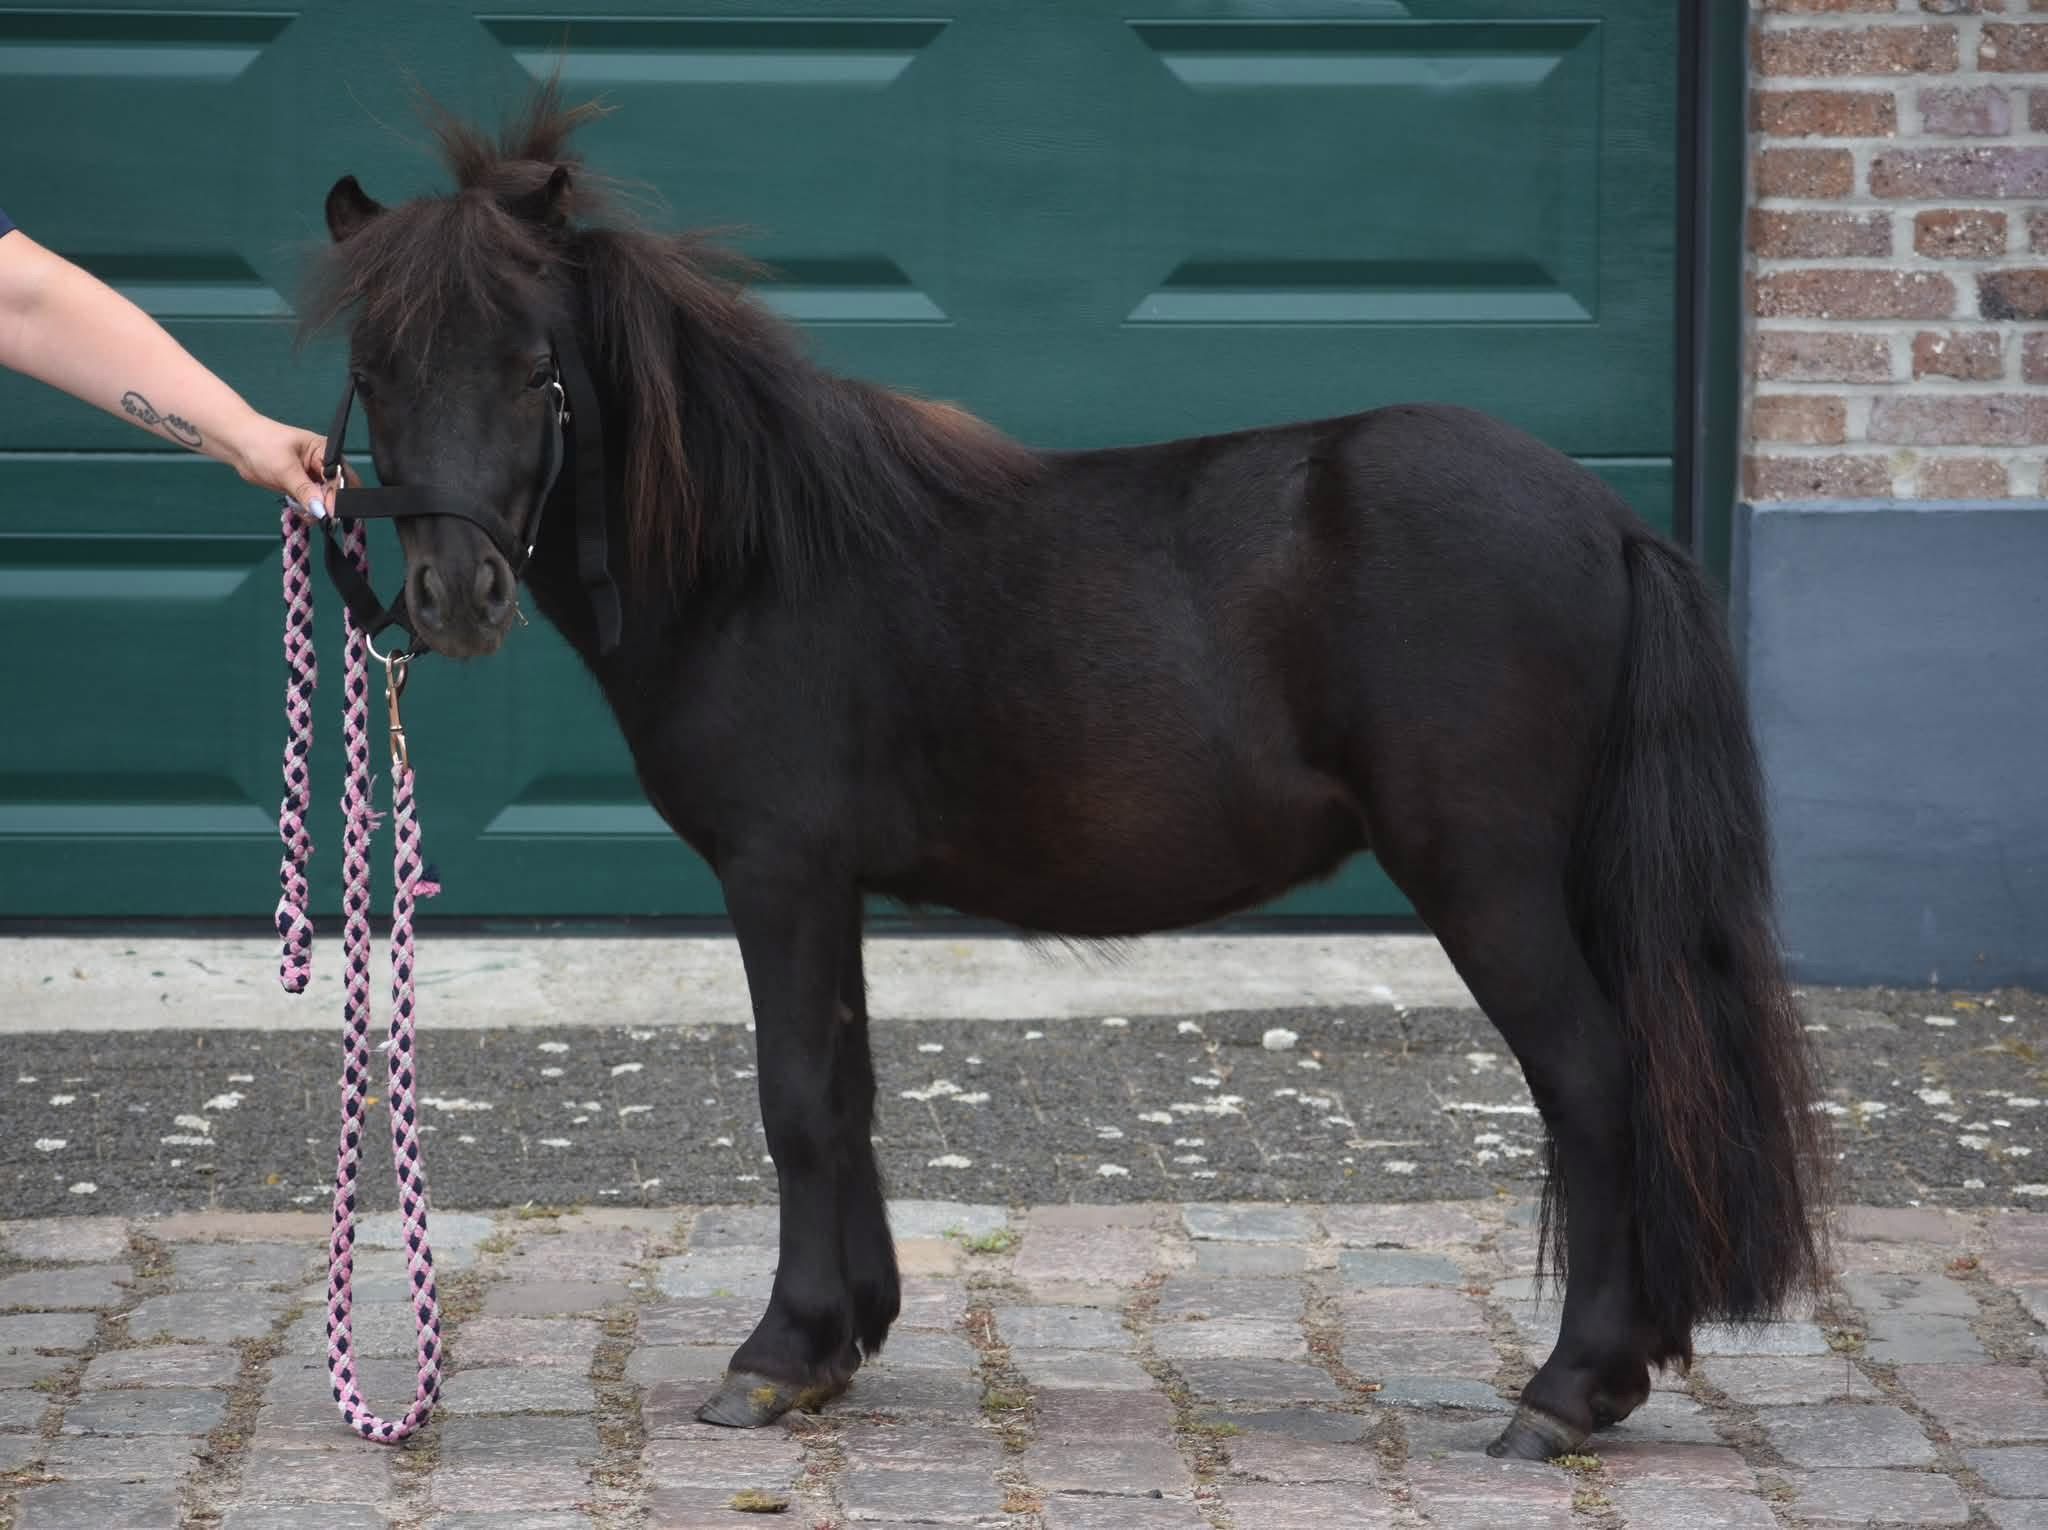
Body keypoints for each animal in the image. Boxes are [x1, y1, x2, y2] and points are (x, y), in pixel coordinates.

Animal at [304, 86, 1825, 1461]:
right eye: (376, 371)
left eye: (532, 362)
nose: (453, 595)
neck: (758, 559)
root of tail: (1608, 517)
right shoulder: (831, 884)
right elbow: (845, 1090)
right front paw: (842, 1334)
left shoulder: (777, 868)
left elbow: (794, 1098)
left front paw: (775, 1356)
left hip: (1487, 880)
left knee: (1595, 1081)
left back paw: (1566, 1390)